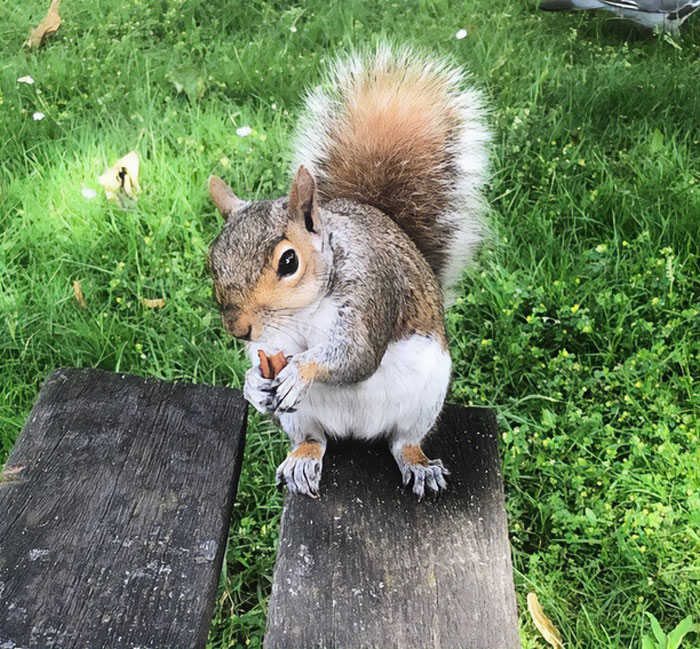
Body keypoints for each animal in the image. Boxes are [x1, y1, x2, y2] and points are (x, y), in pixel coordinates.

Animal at [207, 43, 490, 500]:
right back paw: (303, 458)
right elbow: (265, 358)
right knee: (313, 438)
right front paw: (253, 382)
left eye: (289, 262)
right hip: (300, 418)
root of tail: (358, 431)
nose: (238, 330)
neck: (306, 309)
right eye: (211, 259)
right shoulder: (273, 341)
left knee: (404, 441)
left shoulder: (372, 289)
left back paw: (419, 465)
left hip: (424, 402)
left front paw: (300, 371)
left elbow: (356, 355)